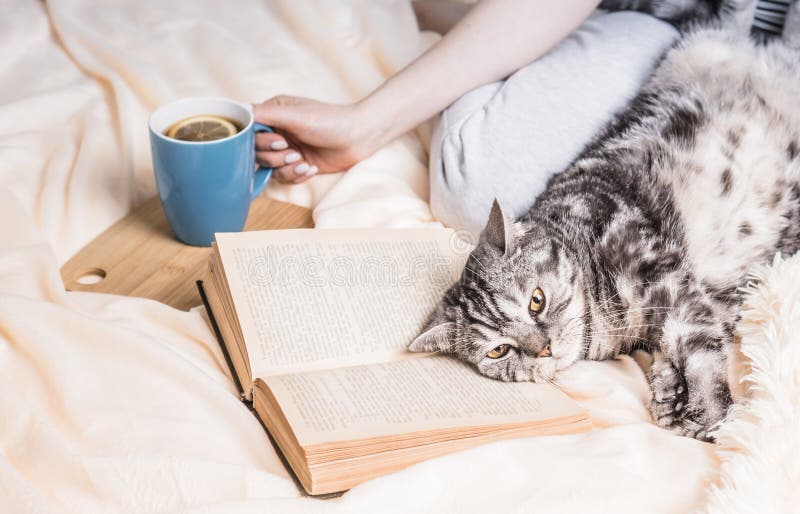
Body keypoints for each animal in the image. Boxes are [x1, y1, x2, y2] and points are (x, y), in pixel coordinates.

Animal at [410, 1, 800, 440]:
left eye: (536, 301)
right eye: (499, 350)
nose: (542, 348)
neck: (610, 323)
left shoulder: (667, 276)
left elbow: (696, 347)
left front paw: (707, 413)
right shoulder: (706, 295)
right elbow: (675, 342)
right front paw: (670, 396)